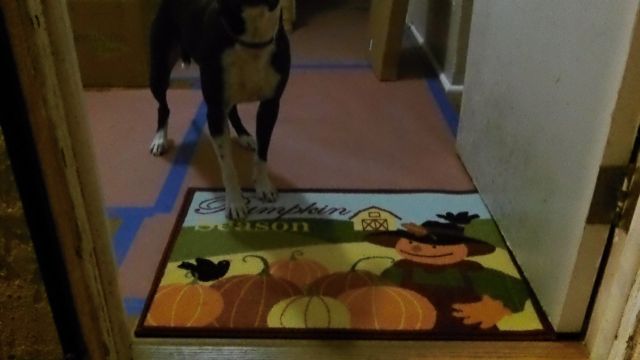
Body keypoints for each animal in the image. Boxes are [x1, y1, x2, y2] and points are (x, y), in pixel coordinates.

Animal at [148, 0, 290, 219]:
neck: (250, 36)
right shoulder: (215, 110)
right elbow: (227, 166)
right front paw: (235, 202)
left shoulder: (270, 105)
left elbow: (263, 153)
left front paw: (264, 186)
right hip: (159, 71)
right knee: (163, 107)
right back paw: (160, 139)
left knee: (232, 111)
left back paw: (245, 136)